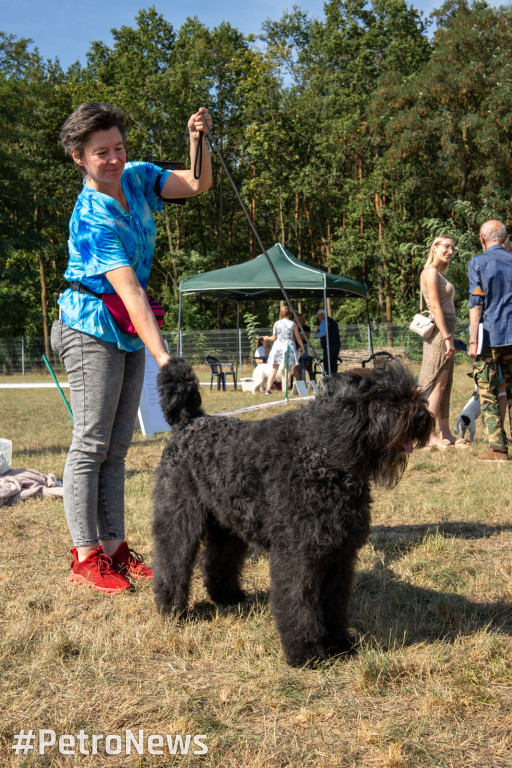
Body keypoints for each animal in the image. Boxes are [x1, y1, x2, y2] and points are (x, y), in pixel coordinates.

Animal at [154, 360, 434, 664]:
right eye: (378, 396)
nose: (421, 414)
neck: (323, 454)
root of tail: (189, 423)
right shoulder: (299, 555)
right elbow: (298, 602)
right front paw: (306, 652)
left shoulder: (340, 554)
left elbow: (334, 603)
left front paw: (339, 643)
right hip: (179, 517)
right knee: (172, 560)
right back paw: (171, 609)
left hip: (228, 525)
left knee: (217, 561)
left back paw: (228, 597)